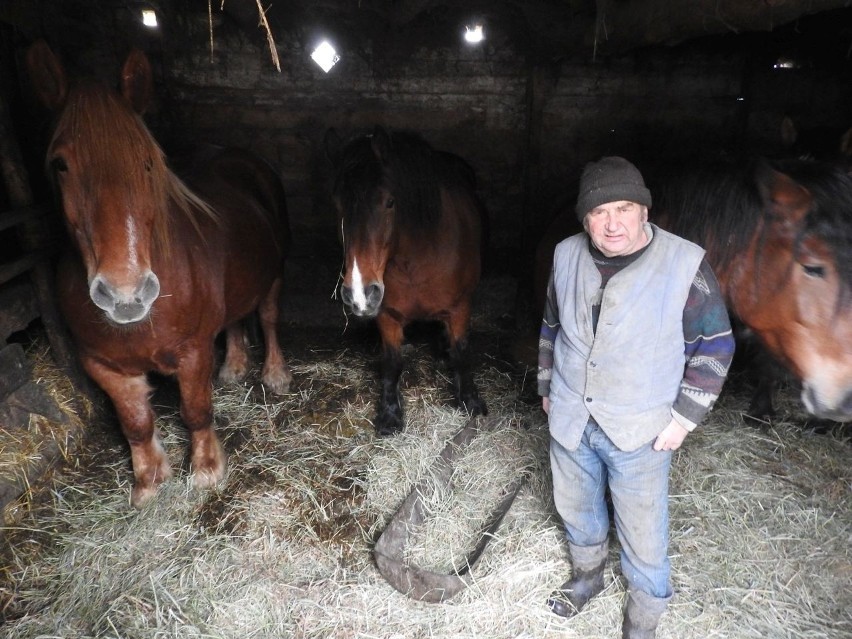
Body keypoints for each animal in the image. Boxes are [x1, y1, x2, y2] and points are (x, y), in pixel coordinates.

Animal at [26, 41, 292, 510]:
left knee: (268, 317)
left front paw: (206, 470)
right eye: (60, 164)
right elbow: (135, 423)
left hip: (273, 276)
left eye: (148, 163)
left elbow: (195, 411)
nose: (125, 293)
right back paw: (235, 367)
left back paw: (274, 375)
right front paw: (148, 482)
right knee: (236, 320)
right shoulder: (102, 365)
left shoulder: (193, 352)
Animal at [324, 126, 486, 436]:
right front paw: (390, 415)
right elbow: (392, 362)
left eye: (389, 202)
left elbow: (461, 352)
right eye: (336, 203)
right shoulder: (386, 314)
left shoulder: (461, 308)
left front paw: (470, 401)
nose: (360, 293)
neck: (416, 262)